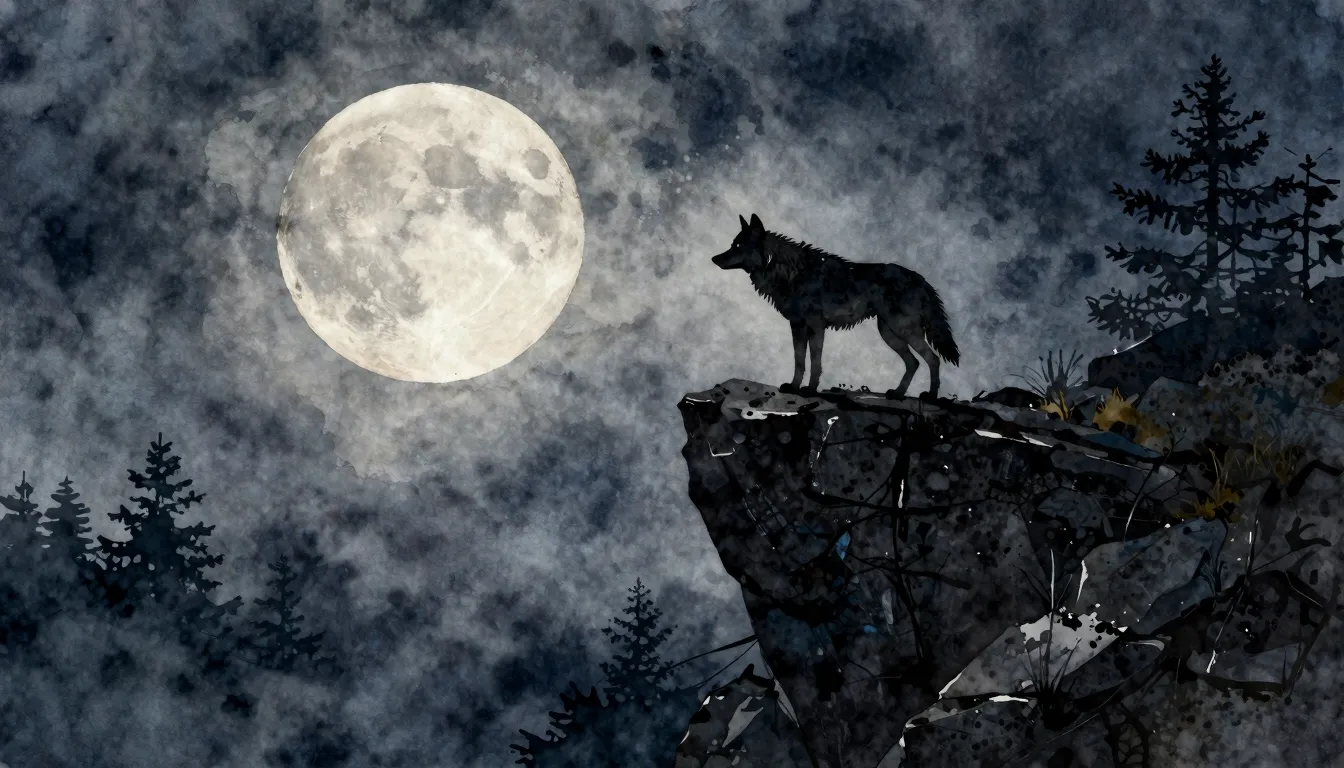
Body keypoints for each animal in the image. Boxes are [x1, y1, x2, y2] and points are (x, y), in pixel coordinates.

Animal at [712, 213, 960, 398]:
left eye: (737, 245)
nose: (714, 259)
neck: (788, 272)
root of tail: (921, 279)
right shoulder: (798, 326)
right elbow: (800, 361)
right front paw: (793, 387)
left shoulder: (815, 326)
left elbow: (814, 362)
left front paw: (809, 390)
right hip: (889, 333)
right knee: (913, 363)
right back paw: (898, 394)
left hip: (903, 331)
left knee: (932, 359)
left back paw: (930, 396)